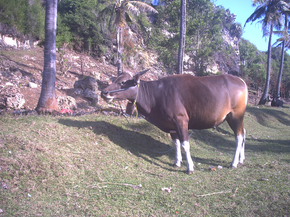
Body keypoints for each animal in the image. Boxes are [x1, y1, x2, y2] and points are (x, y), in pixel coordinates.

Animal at [101, 70, 248, 175]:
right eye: (115, 79)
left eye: (123, 82)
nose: (104, 92)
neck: (156, 94)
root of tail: (240, 80)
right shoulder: (171, 125)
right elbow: (176, 144)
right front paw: (177, 162)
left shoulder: (181, 121)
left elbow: (185, 144)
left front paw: (190, 167)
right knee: (243, 133)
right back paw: (241, 160)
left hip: (235, 115)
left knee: (239, 136)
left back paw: (234, 163)